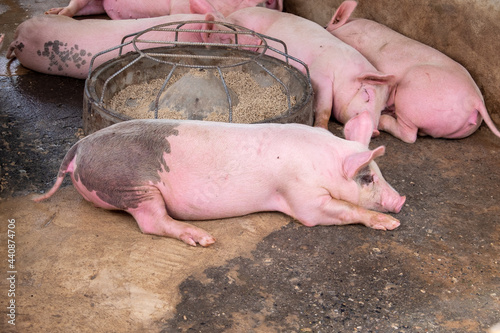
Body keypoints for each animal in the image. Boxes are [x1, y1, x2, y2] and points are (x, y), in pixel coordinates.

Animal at [32, 119, 406, 246]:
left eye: (379, 172)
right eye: (368, 177)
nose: (401, 201)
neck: (325, 161)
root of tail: (79, 147)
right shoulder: (302, 196)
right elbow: (335, 210)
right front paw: (391, 224)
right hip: (132, 185)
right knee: (151, 222)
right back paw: (204, 239)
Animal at [190, 1, 394, 136]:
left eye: (382, 108)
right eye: (367, 94)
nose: (375, 131)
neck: (343, 70)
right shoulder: (320, 75)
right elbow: (325, 107)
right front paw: (321, 129)